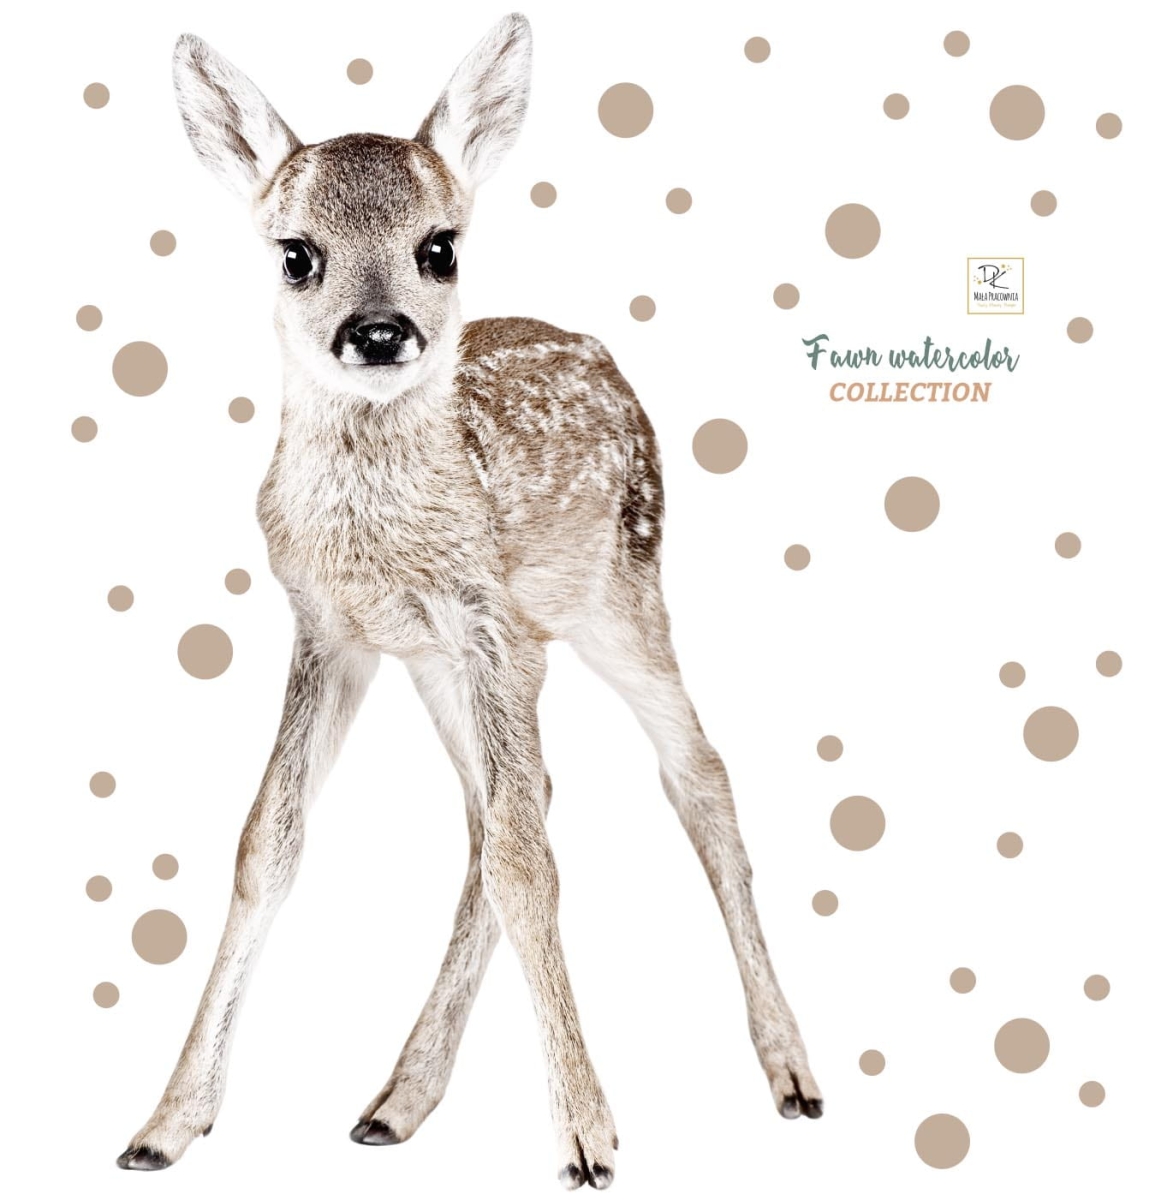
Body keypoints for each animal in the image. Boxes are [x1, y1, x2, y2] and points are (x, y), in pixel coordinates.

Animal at [115, 13, 823, 1189]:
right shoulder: (334, 632)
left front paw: (586, 1139)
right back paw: (397, 1100)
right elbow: (269, 844)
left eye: (439, 246)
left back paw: (792, 1073)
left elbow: (527, 864)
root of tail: (603, 352)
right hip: (468, 665)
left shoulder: (485, 617)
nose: (380, 331)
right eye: (295, 254)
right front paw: (166, 1123)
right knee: (510, 810)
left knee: (693, 777)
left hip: (619, 594)